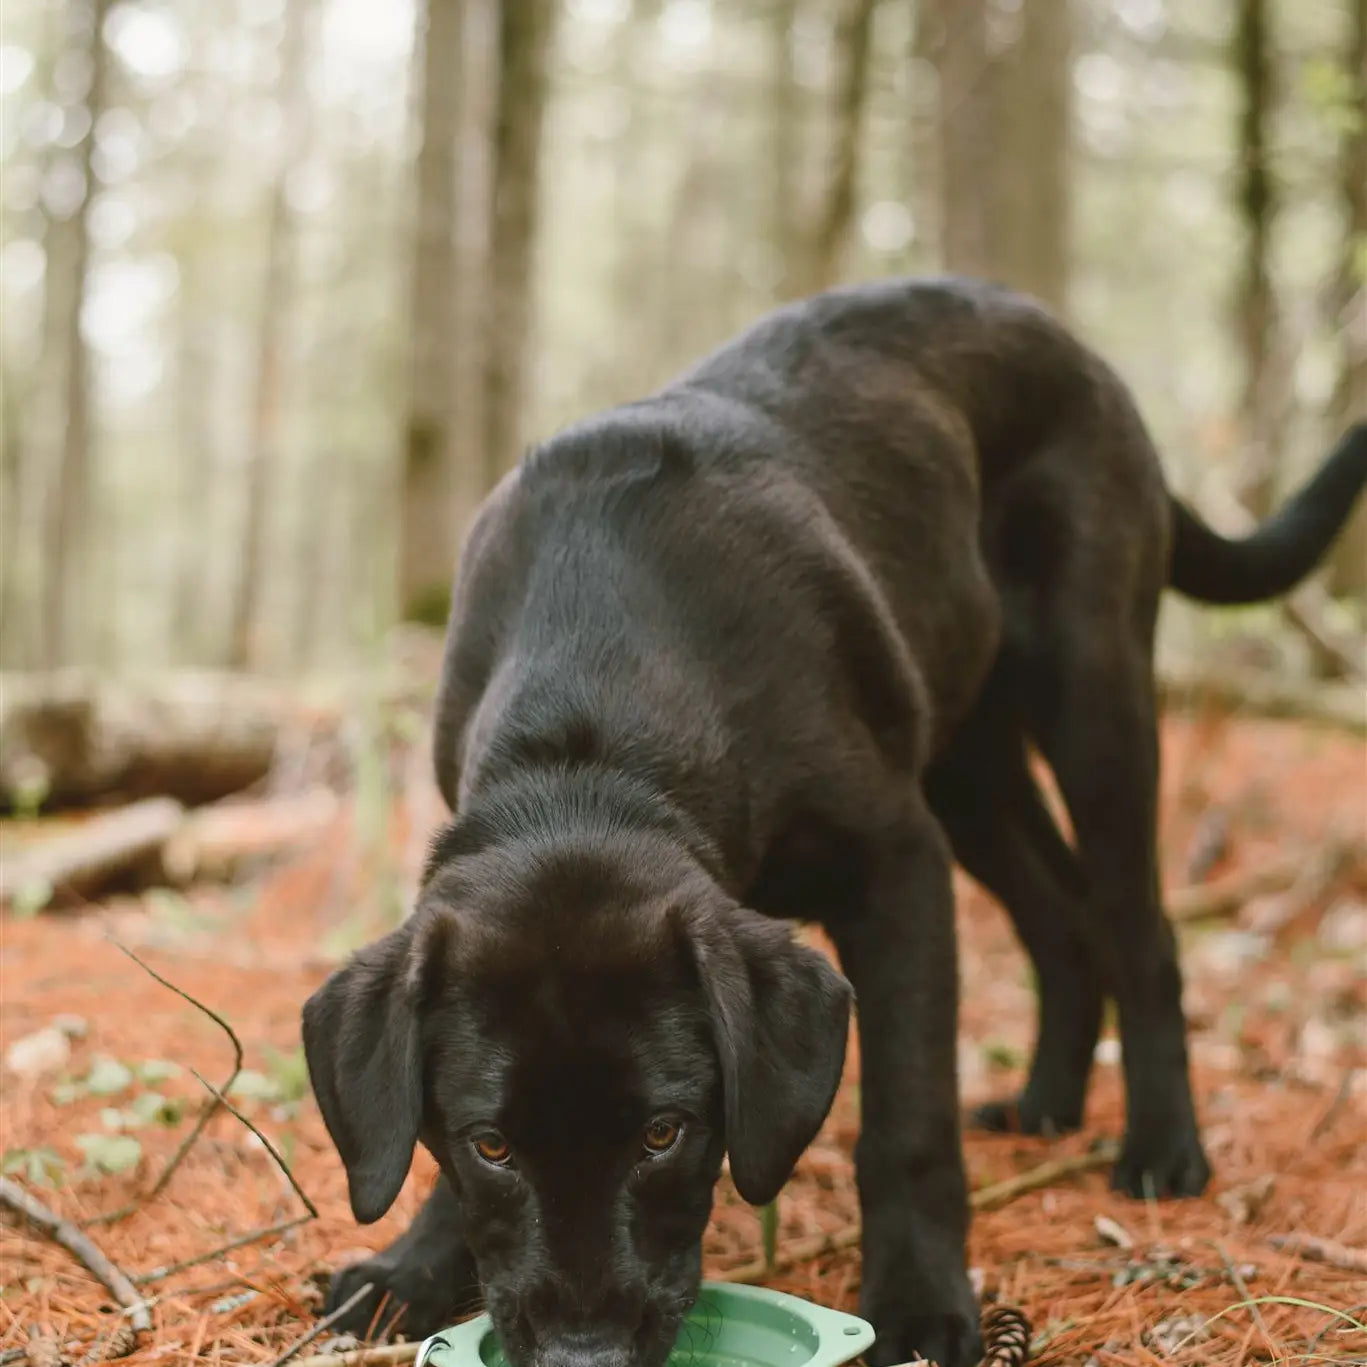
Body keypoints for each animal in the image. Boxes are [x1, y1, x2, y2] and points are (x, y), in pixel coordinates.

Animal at [302, 280, 1367, 1367]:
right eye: (492, 1142)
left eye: (663, 1131)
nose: (582, 1350)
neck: (587, 734)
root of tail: (1070, 345)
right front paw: (411, 1269)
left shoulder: (895, 864)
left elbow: (906, 1119)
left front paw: (918, 1301)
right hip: (967, 767)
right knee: (1062, 920)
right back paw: (1043, 1105)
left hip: (1090, 692)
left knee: (1136, 929)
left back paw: (1159, 1148)